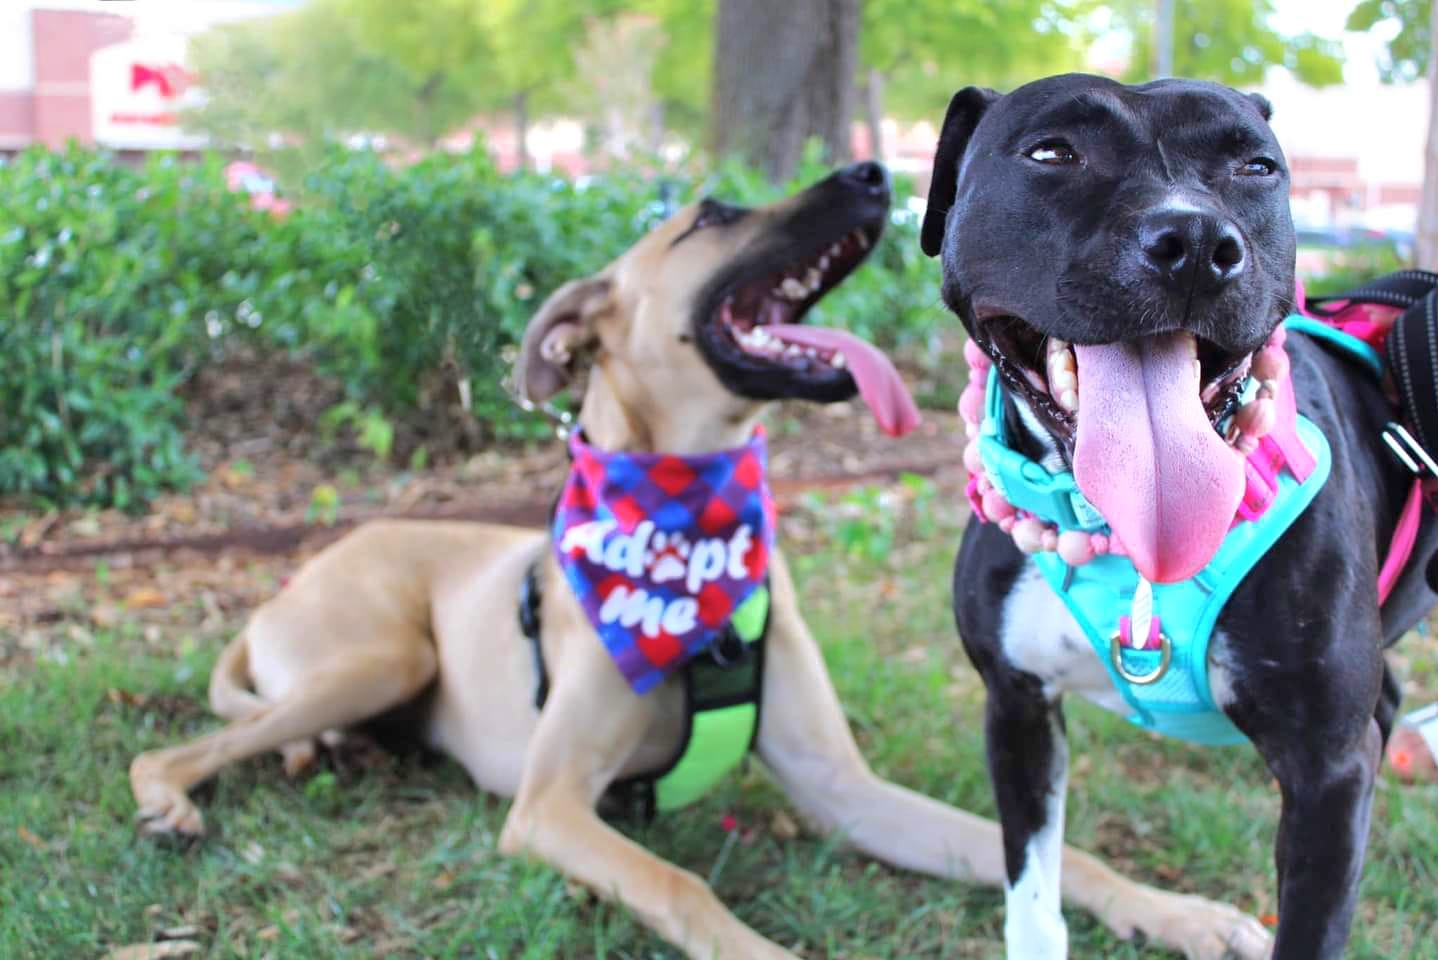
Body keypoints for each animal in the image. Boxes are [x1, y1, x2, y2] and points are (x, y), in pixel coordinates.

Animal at [132, 166, 1271, 960]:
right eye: (712, 214)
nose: (872, 172)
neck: (688, 525)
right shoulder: (547, 806)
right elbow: (683, 886)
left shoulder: (845, 789)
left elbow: (1055, 851)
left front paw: (1177, 911)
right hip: (380, 654)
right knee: (176, 750)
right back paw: (181, 800)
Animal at [920, 75, 1438, 960]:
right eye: (1052, 152)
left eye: (1257, 167)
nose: (1196, 240)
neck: (1125, 541)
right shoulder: (1017, 708)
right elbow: (1033, 901)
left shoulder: (1328, 776)